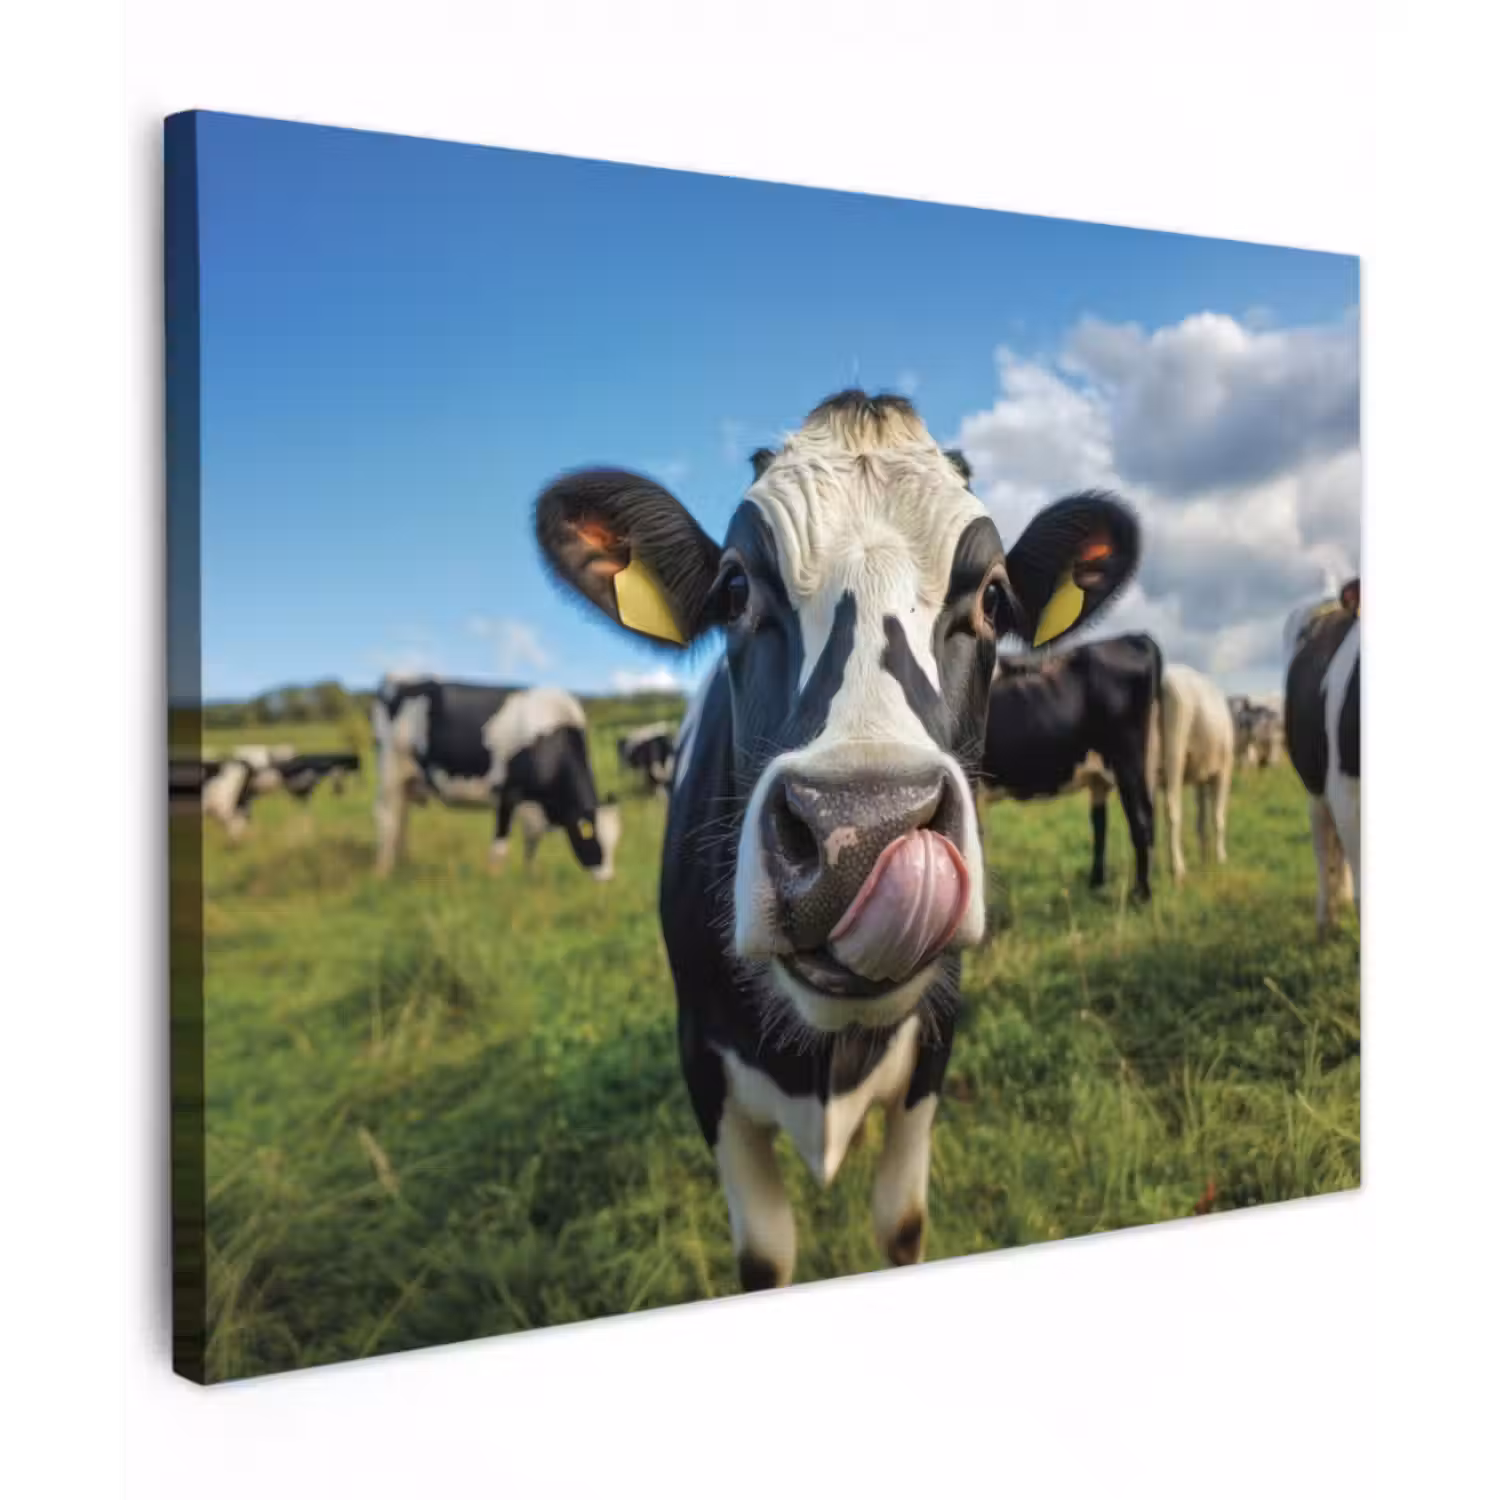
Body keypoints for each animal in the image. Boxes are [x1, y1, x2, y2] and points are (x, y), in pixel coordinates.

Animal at [371, 675, 621, 881]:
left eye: (615, 841)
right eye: (593, 839)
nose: (607, 879)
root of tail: (399, 681)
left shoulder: (533, 807)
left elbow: (532, 844)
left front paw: (529, 877)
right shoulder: (508, 794)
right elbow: (500, 846)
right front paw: (495, 880)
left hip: (408, 782)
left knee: (402, 818)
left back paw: (403, 864)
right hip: (390, 772)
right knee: (387, 820)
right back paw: (383, 871)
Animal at [533, 389, 1139, 1291]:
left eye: (994, 599)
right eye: (734, 588)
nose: (861, 831)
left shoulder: (935, 1041)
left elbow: (902, 1221)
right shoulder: (702, 1060)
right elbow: (765, 1254)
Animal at [975, 634, 1162, 903]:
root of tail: (1136, 637)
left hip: (1128, 761)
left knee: (1141, 819)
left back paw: (1141, 895)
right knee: (1105, 822)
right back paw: (1098, 884)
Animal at [1155, 663, 1236, 882]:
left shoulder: (1201, 776)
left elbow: (1201, 819)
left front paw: (1204, 857)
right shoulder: (1224, 771)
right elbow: (1218, 816)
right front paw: (1220, 857)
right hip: (1175, 750)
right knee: (1172, 808)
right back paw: (1177, 868)